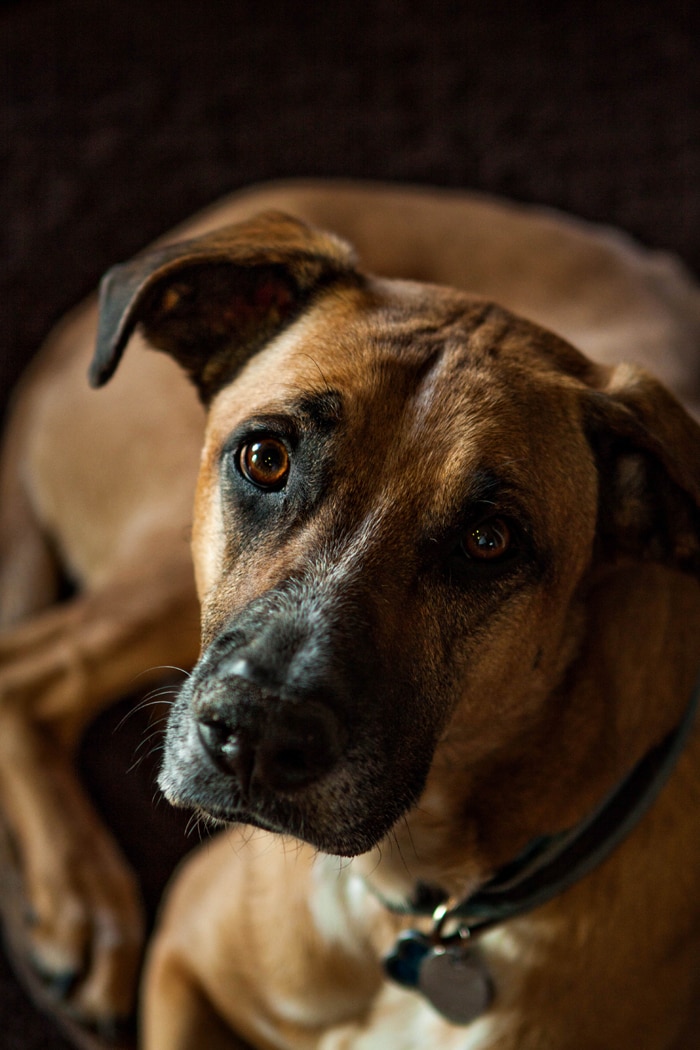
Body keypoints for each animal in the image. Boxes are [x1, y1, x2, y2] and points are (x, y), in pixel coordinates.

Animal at [1, 182, 700, 1050]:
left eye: (488, 541)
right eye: (265, 457)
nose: (259, 735)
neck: (424, 908)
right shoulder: (182, 956)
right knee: (25, 672)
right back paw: (84, 907)